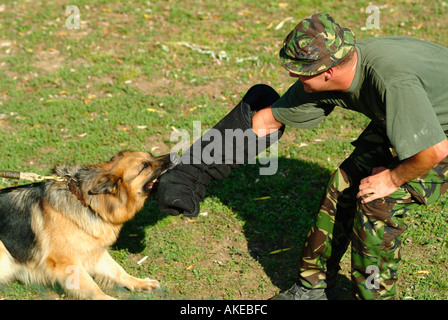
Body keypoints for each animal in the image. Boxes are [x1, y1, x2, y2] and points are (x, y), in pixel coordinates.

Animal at [0, 151, 173, 298]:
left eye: (151, 155)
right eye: (144, 166)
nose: (173, 156)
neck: (85, 201)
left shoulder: (95, 252)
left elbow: (117, 270)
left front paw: (139, 282)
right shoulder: (66, 262)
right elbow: (92, 287)